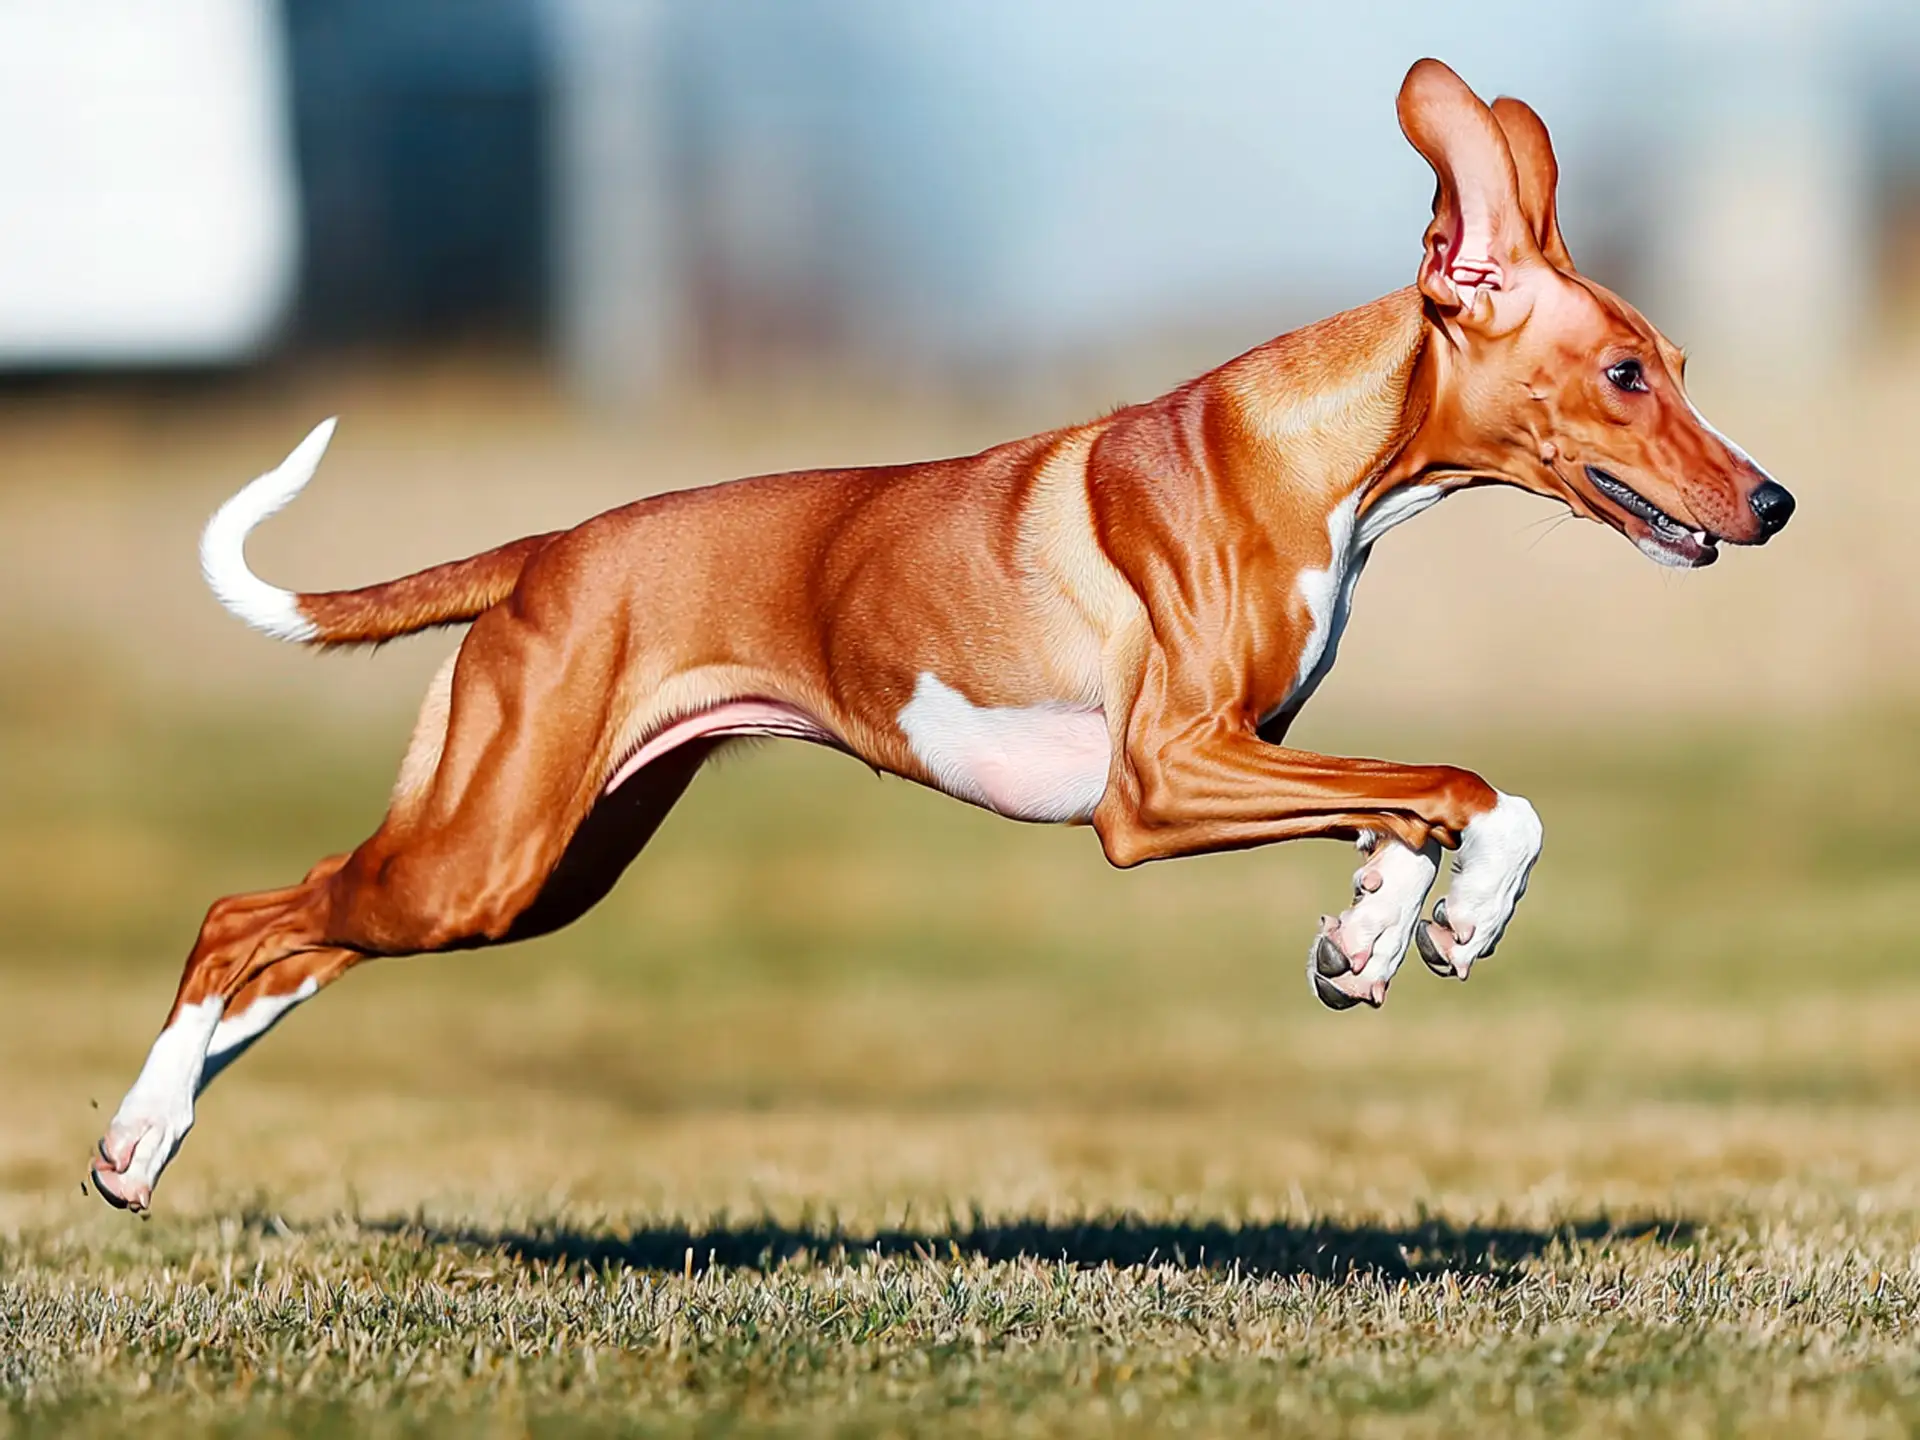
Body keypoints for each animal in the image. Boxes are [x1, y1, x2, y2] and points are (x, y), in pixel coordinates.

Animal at [97, 61, 1789, 1213]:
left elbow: (1390, 810)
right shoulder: (1159, 784)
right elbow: (1466, 786)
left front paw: (1375, 932)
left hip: (531, 866)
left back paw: (141, 1140)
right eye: (1628, 373)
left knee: (298, 946)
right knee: (241, 918)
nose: (1773, 501)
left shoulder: (1250, 754)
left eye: (1674, 362)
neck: (1320, 459)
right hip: (484, 854)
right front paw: (1465, 911)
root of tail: (542, 555)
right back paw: (138, 1127)